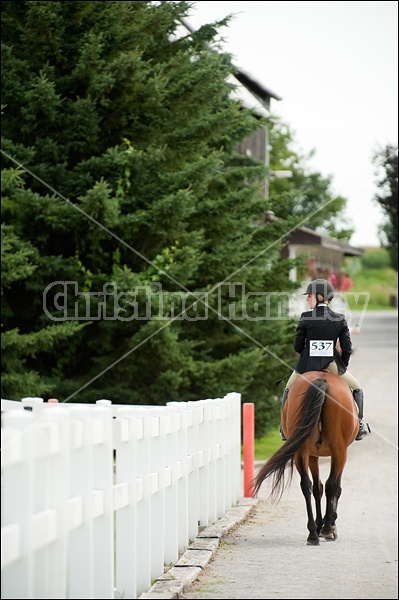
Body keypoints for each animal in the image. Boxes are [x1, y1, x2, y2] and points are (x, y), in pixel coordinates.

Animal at [253, 370, 360, 544]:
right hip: (338, 450)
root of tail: (322, 379)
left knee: (306, 484)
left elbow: (317, 488)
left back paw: (313, 533)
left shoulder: (312, 455)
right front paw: (329, 524)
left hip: (301, 451)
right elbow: (335, 487)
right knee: (330, 485)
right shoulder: (342, 454)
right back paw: (327, 529)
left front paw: (319, 524)